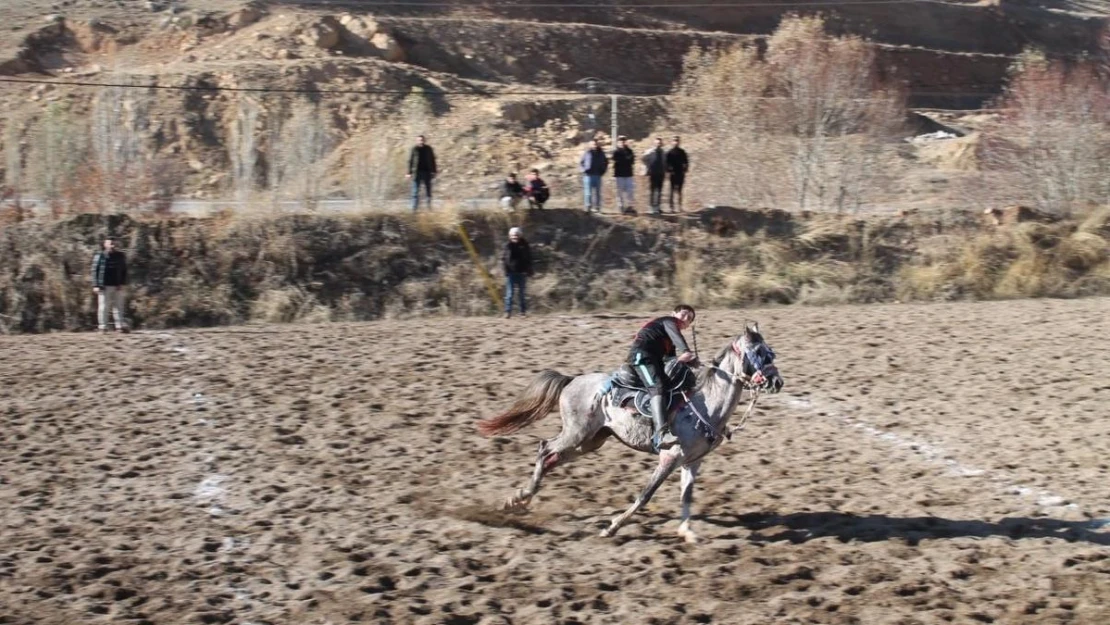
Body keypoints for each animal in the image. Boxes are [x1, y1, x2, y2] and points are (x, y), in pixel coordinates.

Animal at [481, 326, 785, 539]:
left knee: (551, 459)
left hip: (590, 441)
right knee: (545, 448)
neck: (705, 403)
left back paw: (518, 500)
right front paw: (612, 527)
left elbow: (687, 496)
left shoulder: (693, 461)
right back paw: (520, 497)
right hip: (576, 434)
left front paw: (687, 532)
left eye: (771, 353)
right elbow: (645, 495)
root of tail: (572, 379)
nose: (777, 382)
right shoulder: (669, 457)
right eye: (759, 353)